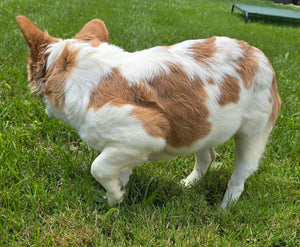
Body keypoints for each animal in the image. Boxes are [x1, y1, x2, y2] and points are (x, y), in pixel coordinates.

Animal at [17, 15, 282, 207]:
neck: (81, 72)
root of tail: (262, 57)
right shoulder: (125, 147)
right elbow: (119, 170)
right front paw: (118, 194)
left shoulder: (142, 135)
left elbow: (98, 167)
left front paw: (114, 198)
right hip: (205, 125)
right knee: (207, 156)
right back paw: (188, 184)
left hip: (253, 132)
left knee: (241, 175)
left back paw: (224, 209)